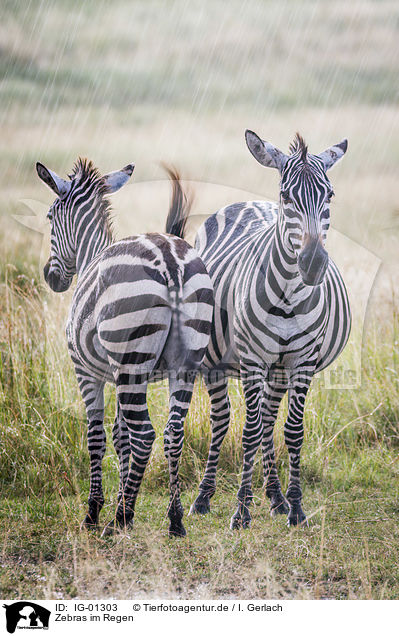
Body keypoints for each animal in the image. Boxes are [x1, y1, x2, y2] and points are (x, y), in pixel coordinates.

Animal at [36, 159, 214, 536]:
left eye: (49, 216)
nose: (51, 278)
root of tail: (169, 259)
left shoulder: (88, 372)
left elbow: (97, 436)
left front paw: (96, 511)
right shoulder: (118, 371)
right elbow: (120, 436)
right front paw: (122, 499)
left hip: (132, 360)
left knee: (145, 434)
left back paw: (119, 520)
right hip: (183, 364)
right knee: (172, 432)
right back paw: (175, 519)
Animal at [167, 129, 352, 528]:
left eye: (329, 195)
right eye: (286, 197)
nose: (313, 265)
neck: (289, 299)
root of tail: (246, 203)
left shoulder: (301, 362)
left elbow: (292, 432)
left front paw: (295, 508)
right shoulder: (252, 361)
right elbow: (248, 433)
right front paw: (241, 511)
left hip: (278, 369)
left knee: (268, 419)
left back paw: (276, 497)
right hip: (215, 363)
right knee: (224, 421)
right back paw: (203, 498)